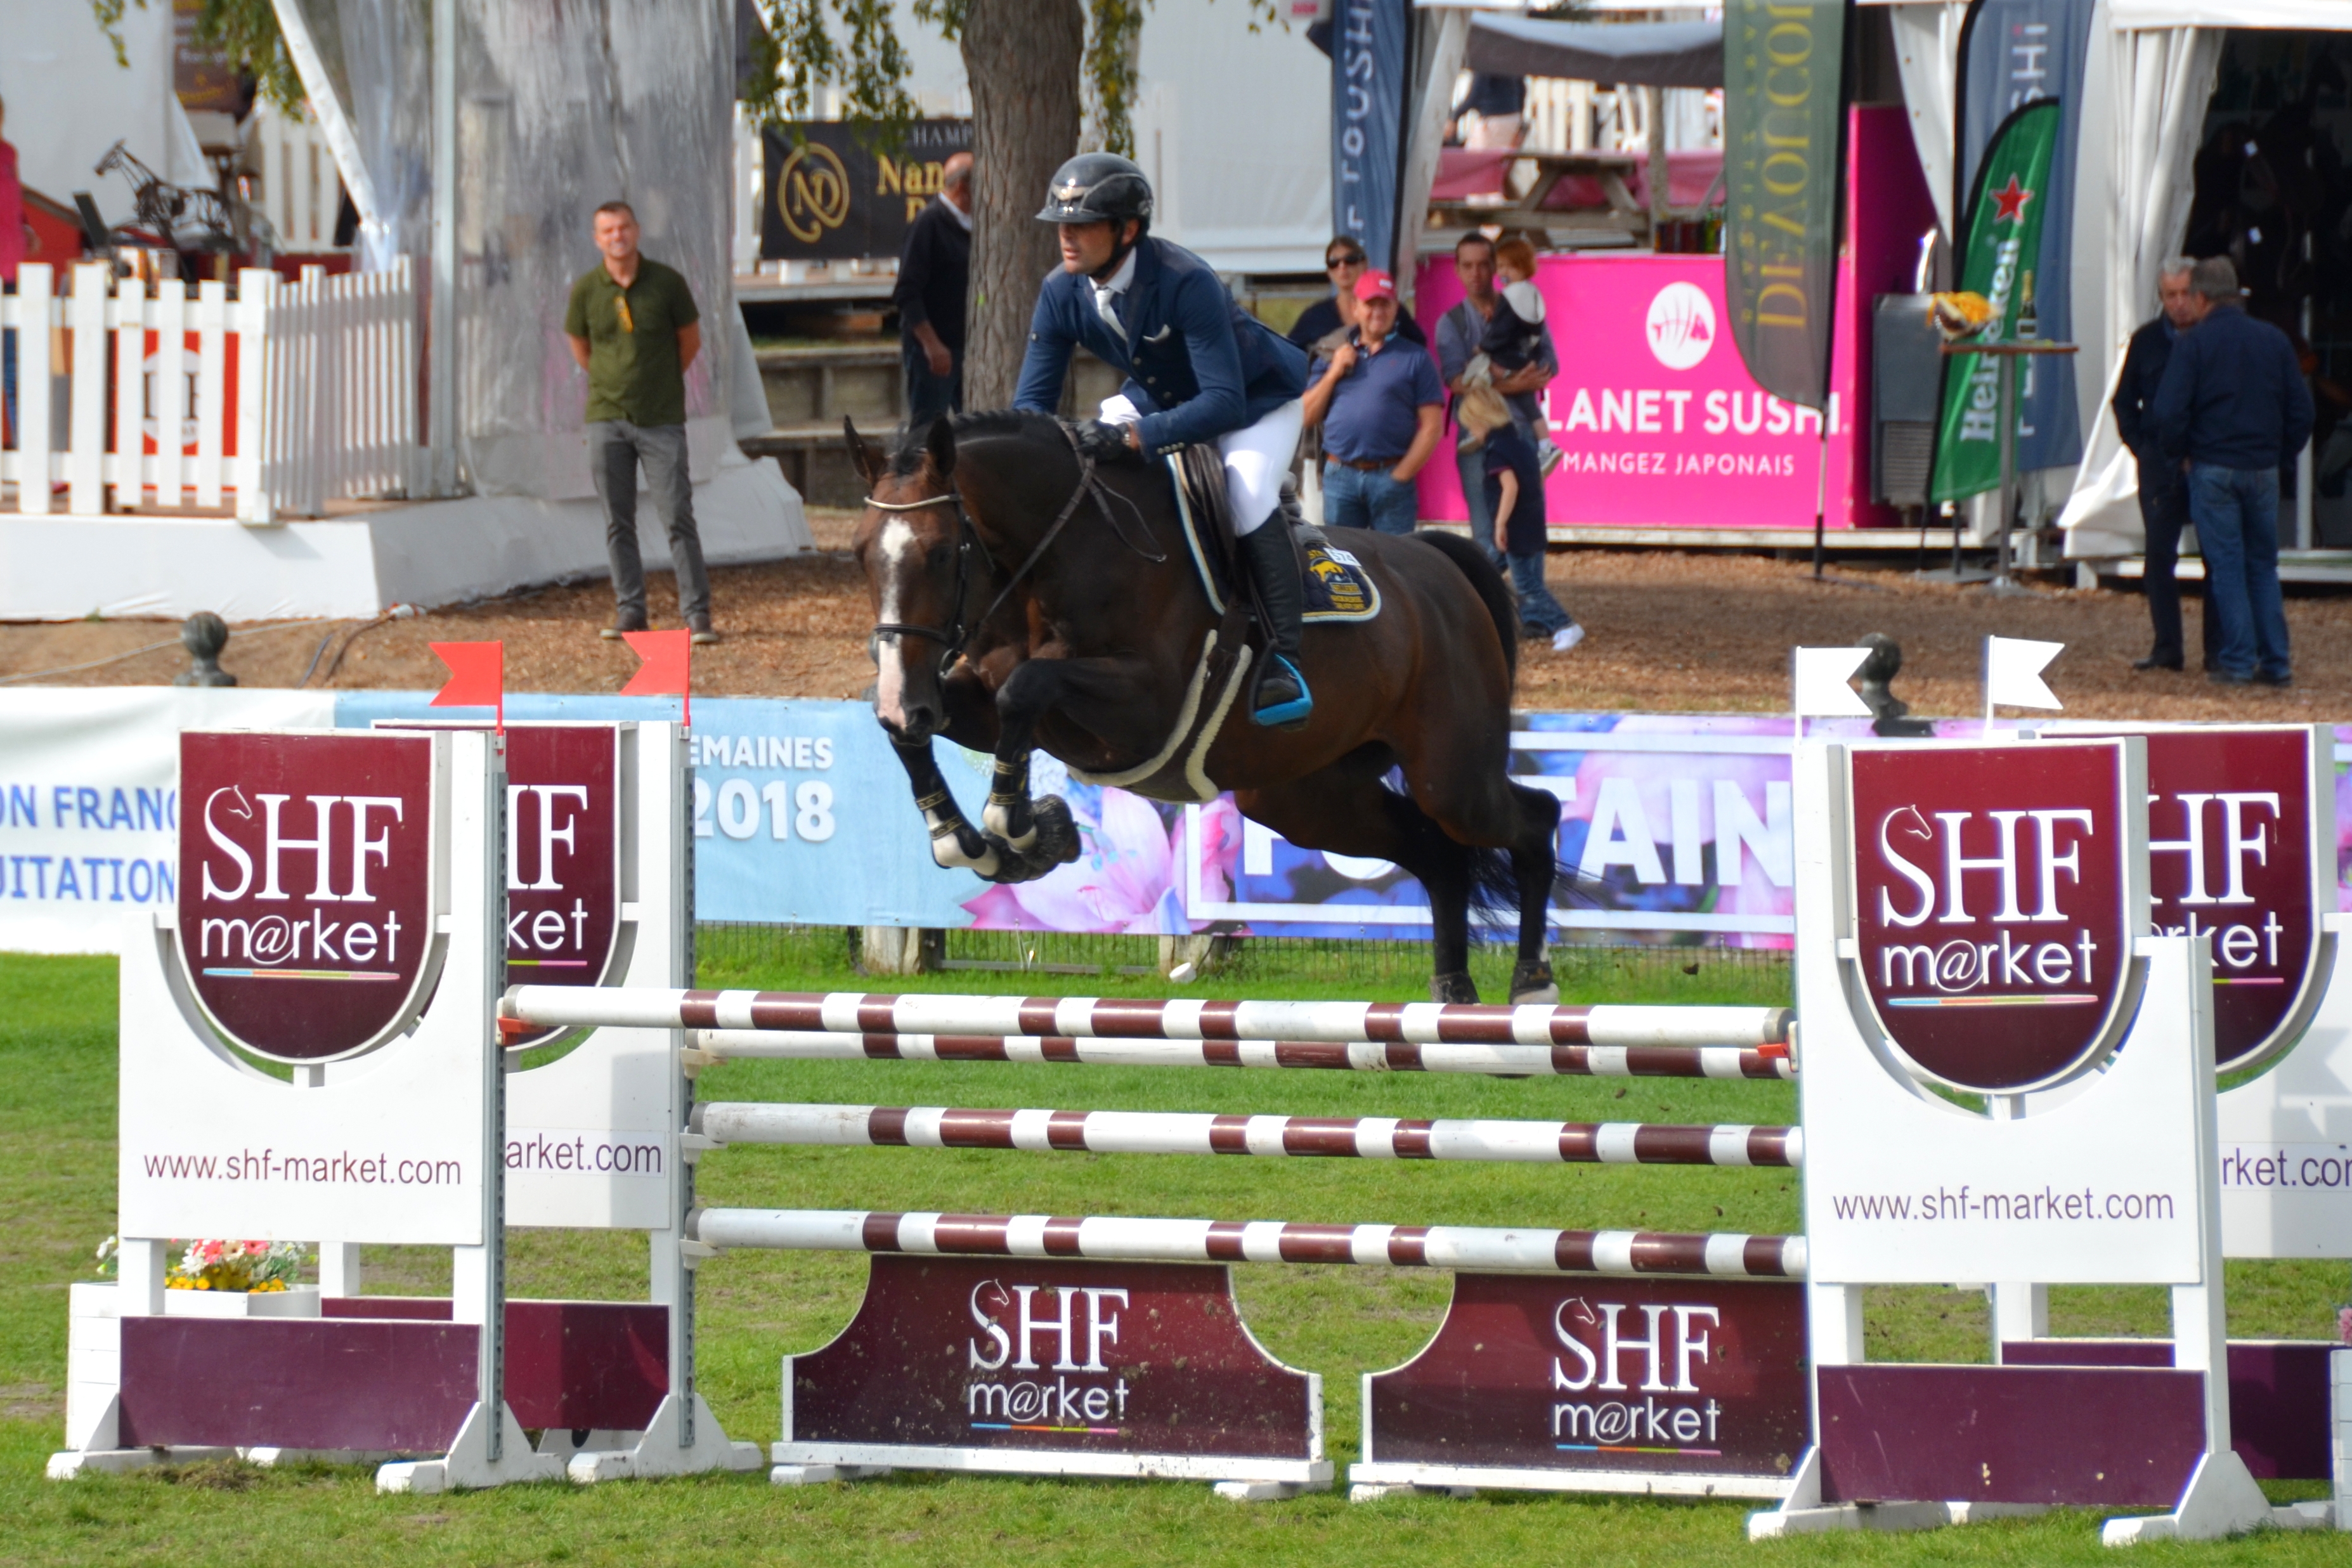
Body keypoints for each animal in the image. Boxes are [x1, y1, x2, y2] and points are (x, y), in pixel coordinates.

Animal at [847, 413, 1561, 1006]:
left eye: (942, 552)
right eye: (860, 553)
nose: (906, 697)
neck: (1051, 558)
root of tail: (1439, 564)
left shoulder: (1145, 707)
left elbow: (1025, 687)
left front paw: (1022, 828)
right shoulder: (972, 700)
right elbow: (920, 730)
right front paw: (970, 839)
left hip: (1452, 776)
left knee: (1531, 818)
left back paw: (1531, 980)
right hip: (1308, 799)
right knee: (1435, 852)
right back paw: (1453, 986)